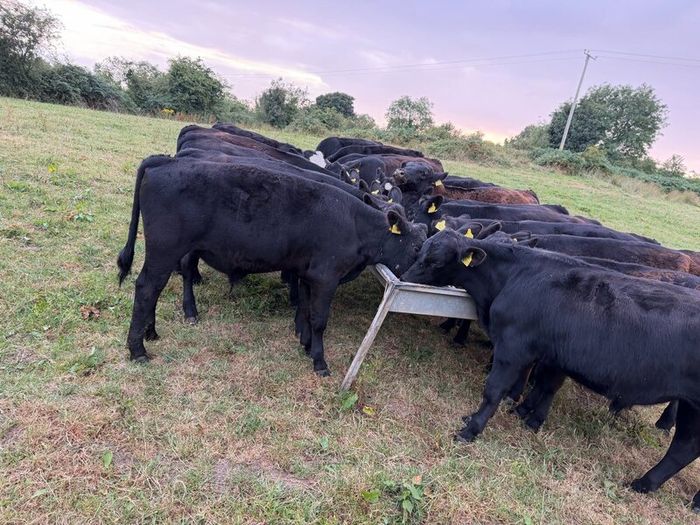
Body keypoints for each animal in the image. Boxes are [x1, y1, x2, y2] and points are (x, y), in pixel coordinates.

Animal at [117, 155, 427, 376]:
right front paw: (319, 361)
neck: (355, 225)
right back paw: (138, 349)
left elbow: (304, 311)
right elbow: (319, 320)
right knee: (147, 288)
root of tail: (165, 161)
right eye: (415, 247)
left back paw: (151, 332)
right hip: (165, 249)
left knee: (155, 288)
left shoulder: (307, 274)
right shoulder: (326, 277)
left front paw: (305, 344)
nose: (417, 279)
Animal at [400, 228, 700, 511]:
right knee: (684, 448)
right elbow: (547, 385)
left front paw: (471, 429)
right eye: (421, 249)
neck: (514, 276)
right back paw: (646, 484)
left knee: (685, 447)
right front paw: (529, 419)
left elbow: (495, 390)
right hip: (691, 406)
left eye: (436, 261)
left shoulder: (513, 347)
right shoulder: (555, 356)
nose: (404, 275)